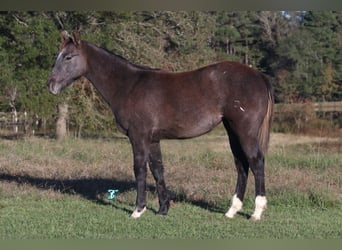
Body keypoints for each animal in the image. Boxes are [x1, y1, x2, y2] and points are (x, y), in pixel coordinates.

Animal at [46, 31, 274, 221]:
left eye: (68, 57)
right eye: (58, 55)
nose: (51, 85)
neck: (129, 85)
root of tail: (259, 76)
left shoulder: (138, 137)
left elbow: (139, 169)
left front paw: (138, 209)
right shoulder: (153, 139)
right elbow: (157, 170)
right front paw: (163, 209)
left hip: (245, 131)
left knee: (256, 162)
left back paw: (256, 212)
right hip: (232, 131)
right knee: (241, 165)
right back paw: (232, 210)